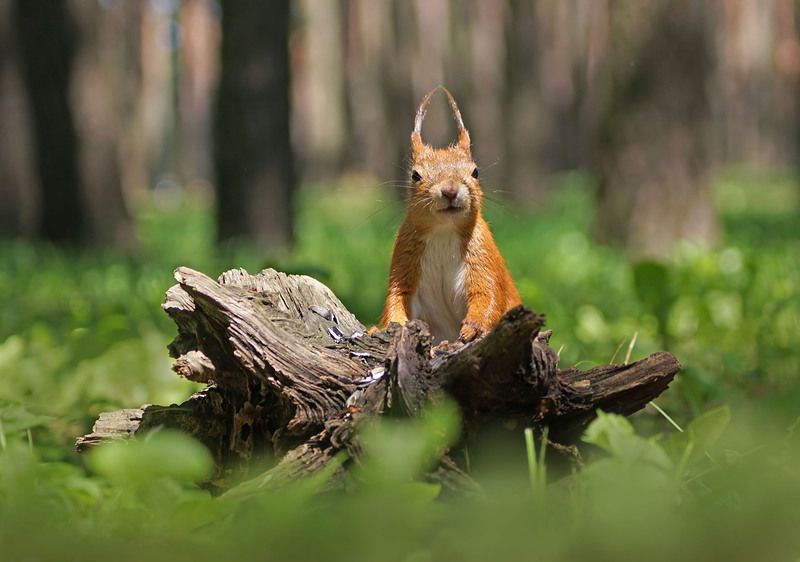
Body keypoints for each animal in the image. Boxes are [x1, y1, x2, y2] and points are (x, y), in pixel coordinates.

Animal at [379, 86, 521, 343]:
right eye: (415, 175)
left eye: (475, 172)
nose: (450, 190)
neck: (443, 231)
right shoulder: (404, 260)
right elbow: (396, 298)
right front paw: (385, 327)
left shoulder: (483, 255)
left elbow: (488, 295)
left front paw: (473, 328)